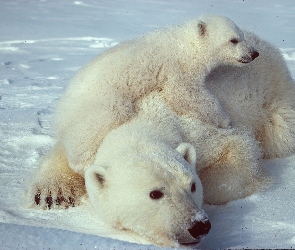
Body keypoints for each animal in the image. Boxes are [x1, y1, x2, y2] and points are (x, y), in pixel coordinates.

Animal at [55, 14, 260, 174]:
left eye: (242, 35)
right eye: (233, 40)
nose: (254, 53)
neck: (186, 45)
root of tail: (62, 106)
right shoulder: (177, 68)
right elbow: (185, 94)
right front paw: (225, 120)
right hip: (101, 99)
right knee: (98, 123)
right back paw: (82, 163)